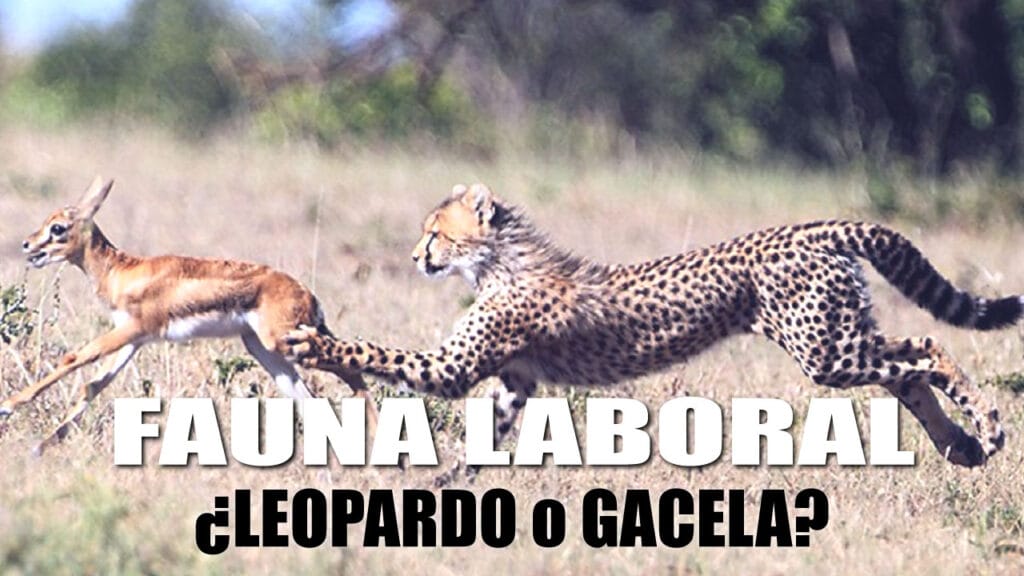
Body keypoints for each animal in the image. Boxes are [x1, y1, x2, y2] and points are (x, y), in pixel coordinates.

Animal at [283, 183, 1018, 475]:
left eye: (434, 232)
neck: (497, 261)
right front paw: (447, 485)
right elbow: (488, 434)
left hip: (826, 350)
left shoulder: (456, 366)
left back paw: (986, 426)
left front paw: (312, 342)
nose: (415, 257)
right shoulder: (517, 381)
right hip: (839, 339)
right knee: (909, 369)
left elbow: (377, 351)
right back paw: (960, 446)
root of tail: (813, 226)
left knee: (929, 350)